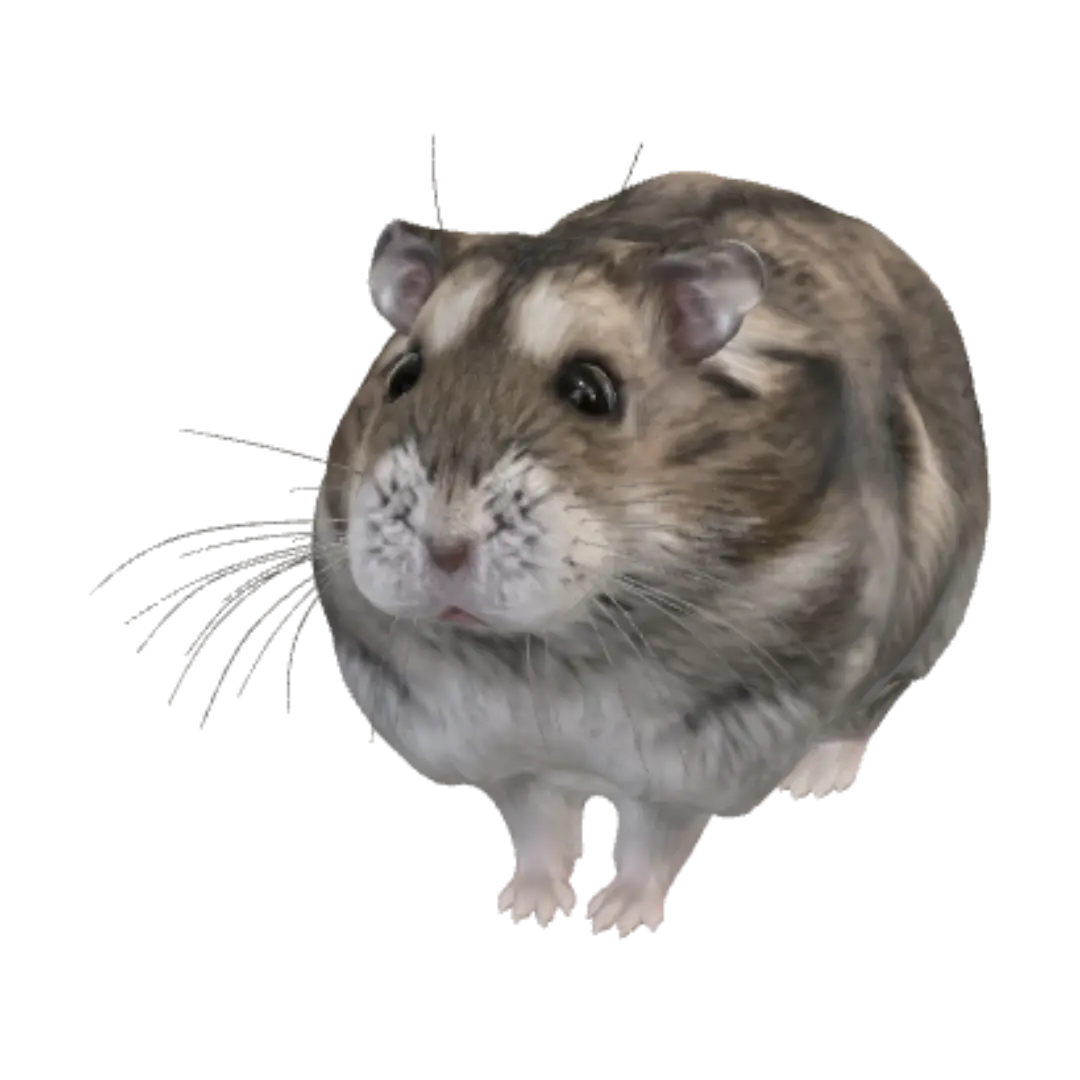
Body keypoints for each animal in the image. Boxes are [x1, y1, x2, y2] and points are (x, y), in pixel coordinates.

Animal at [315, 171, 989, 936]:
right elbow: (538, 826)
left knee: (869, 709)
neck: (539, 659)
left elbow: (650, 840)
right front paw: (526, 909)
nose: (444, 547)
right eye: (403, 376)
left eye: (590, 390)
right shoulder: (505, 755)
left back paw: (816, 780)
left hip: (924, 624)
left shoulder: (697, 756)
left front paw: (614, 919)